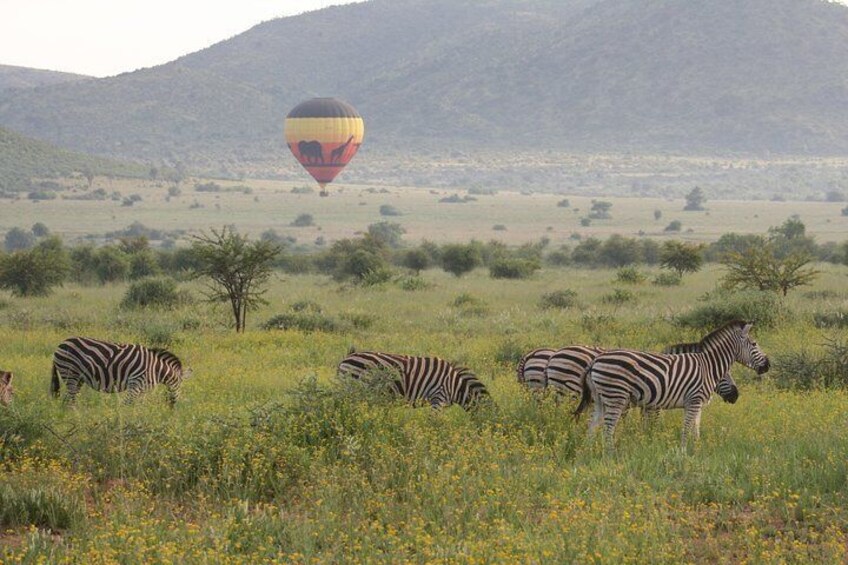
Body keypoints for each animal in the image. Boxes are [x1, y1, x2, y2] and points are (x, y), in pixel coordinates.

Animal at [50, 334, 191, 406]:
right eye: (180, 386)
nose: (172, 407)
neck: (156, 369)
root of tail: (61, 344)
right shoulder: (135, 384)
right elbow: (127, 404)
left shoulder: (142, 390)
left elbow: (139, 406)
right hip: (70, 372)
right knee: (71, 400)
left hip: (78, 378)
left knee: (67, 400)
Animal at [576, 320, 768, 448]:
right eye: (754, 344)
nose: (768, 365)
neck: (707, 366)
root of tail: (595, 361)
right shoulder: (693, 401)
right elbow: (685, 429)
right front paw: (682, 453)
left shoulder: (695, 404)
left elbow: (695, 429)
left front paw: (696, 450)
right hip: (616, 396)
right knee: (608, 428)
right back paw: (611, 455)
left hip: (601, 399)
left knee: (592, 426)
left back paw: (589, 452)